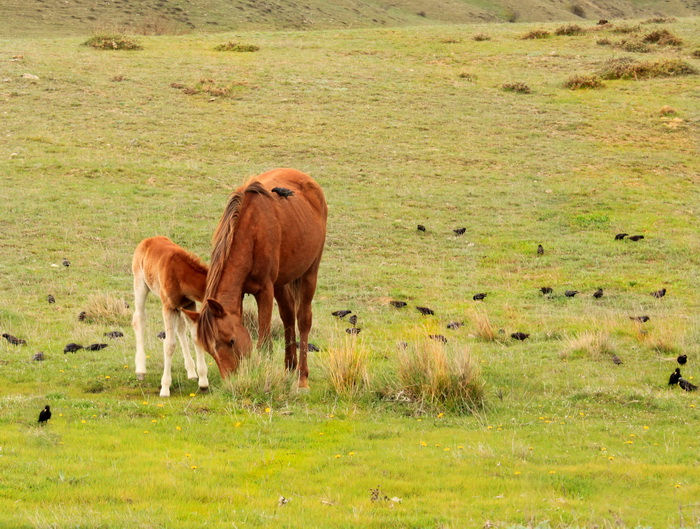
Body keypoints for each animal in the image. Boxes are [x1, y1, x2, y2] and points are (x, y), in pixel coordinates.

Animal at [132, 236, 210, 397]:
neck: (182, 275)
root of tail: (147, 240)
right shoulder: (168, 306)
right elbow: (169, 344)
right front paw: (165, 388)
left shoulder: (188, 304)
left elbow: (195, 336)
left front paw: (203, 382)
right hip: (140, 283)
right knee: (139, 318)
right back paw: (141, 370)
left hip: (179, 307)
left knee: (180, 328)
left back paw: (192, 372)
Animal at [183, 168, 327, 389]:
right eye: (209, 350)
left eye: (231, 341)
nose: (230, 378)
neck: (251, 232)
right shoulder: (242, 293)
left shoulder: (264, 291)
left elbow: (264, 343)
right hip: (282, 283)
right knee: (288, 316)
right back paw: (289, 367)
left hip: (309, 272)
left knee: (303, 320)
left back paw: (302, 377)